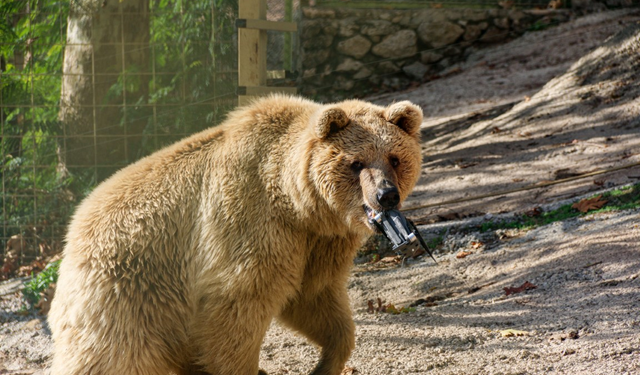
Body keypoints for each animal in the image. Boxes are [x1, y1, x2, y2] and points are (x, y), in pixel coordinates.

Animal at [47, 94, 422, 375]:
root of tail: (72, 232)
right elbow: (236, 311)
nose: (386, 195)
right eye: (356, 163)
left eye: (394, 157)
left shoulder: (316, 243)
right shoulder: (250, 223)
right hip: (127, 288)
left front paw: (325, 364)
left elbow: (316, 299)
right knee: (108, 356)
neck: (297, 202)